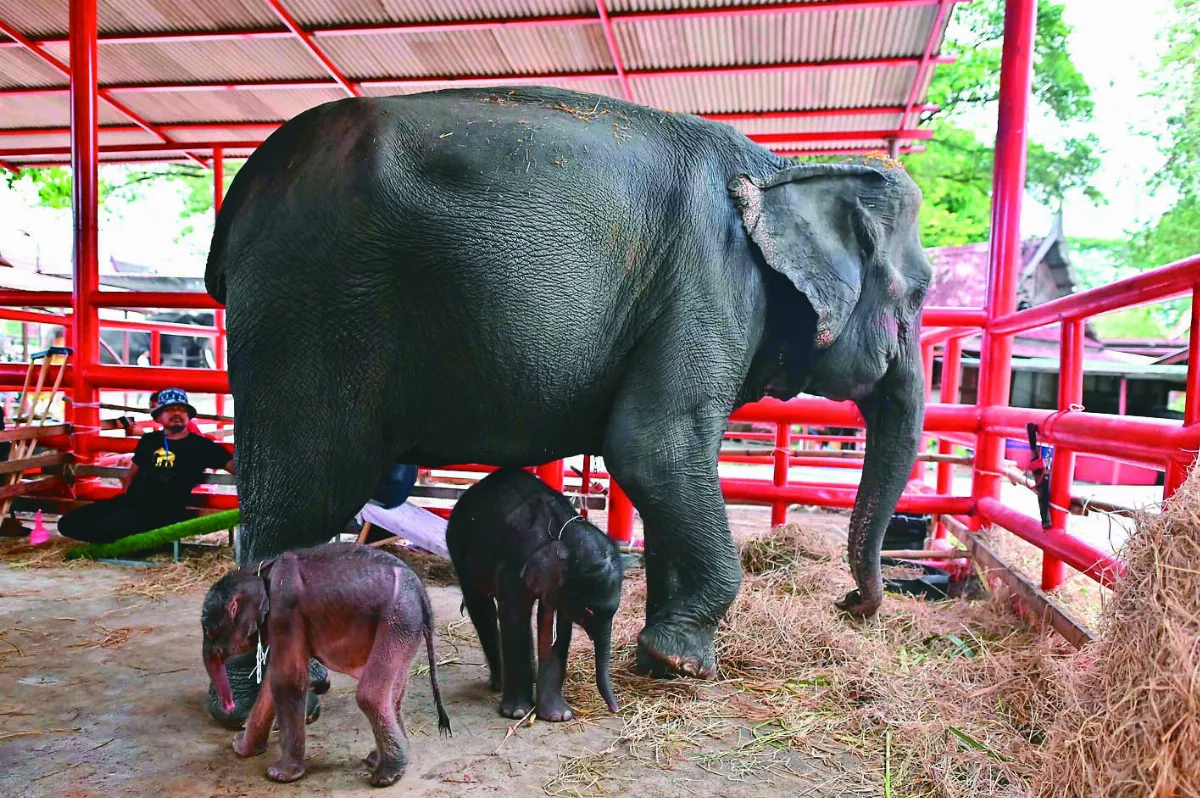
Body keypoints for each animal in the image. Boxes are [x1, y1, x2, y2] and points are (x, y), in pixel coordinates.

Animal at [205, 85, 931, 696]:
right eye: (919, 294)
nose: (851, 603)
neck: (785, 166)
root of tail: (244, 190)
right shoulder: (711, 284)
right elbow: (653, 448)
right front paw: (684, 665)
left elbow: (665, 471)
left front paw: (660, 659)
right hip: (311, 307)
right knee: (298, 499)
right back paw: (264, 699)